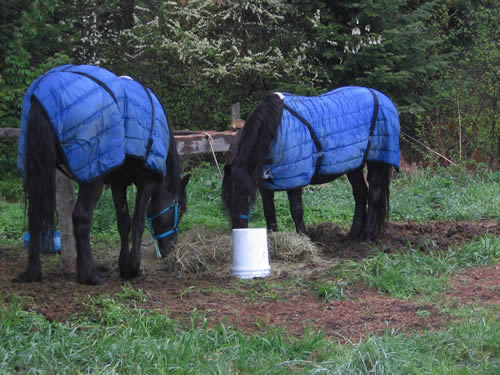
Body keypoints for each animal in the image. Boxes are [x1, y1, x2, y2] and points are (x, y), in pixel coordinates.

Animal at [15, 64, 190, 284]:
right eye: (180, 209)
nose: (170, 249)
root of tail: (41, 94)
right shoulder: (147, 181)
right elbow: (138, 222)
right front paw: (134, 267)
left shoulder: (118, 182)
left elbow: (123, 222)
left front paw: (124, 267)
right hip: (93, 178)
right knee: (81, 218)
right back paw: (89, 274)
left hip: (38, 173)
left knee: (34, 216)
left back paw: (33, 272)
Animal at [222, 86, 398, 241]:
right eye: (227, 197)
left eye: (248, 197)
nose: (237, 229)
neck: (275, 130)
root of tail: (382, 97)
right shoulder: (264, 185)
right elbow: (269, 212)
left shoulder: (295, 180)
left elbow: (296, 211)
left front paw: (304, 237)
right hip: (353, 165)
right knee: (360, 193)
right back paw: (353, 235)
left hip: (377, 160)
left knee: (374, 194)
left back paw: (366, 236)